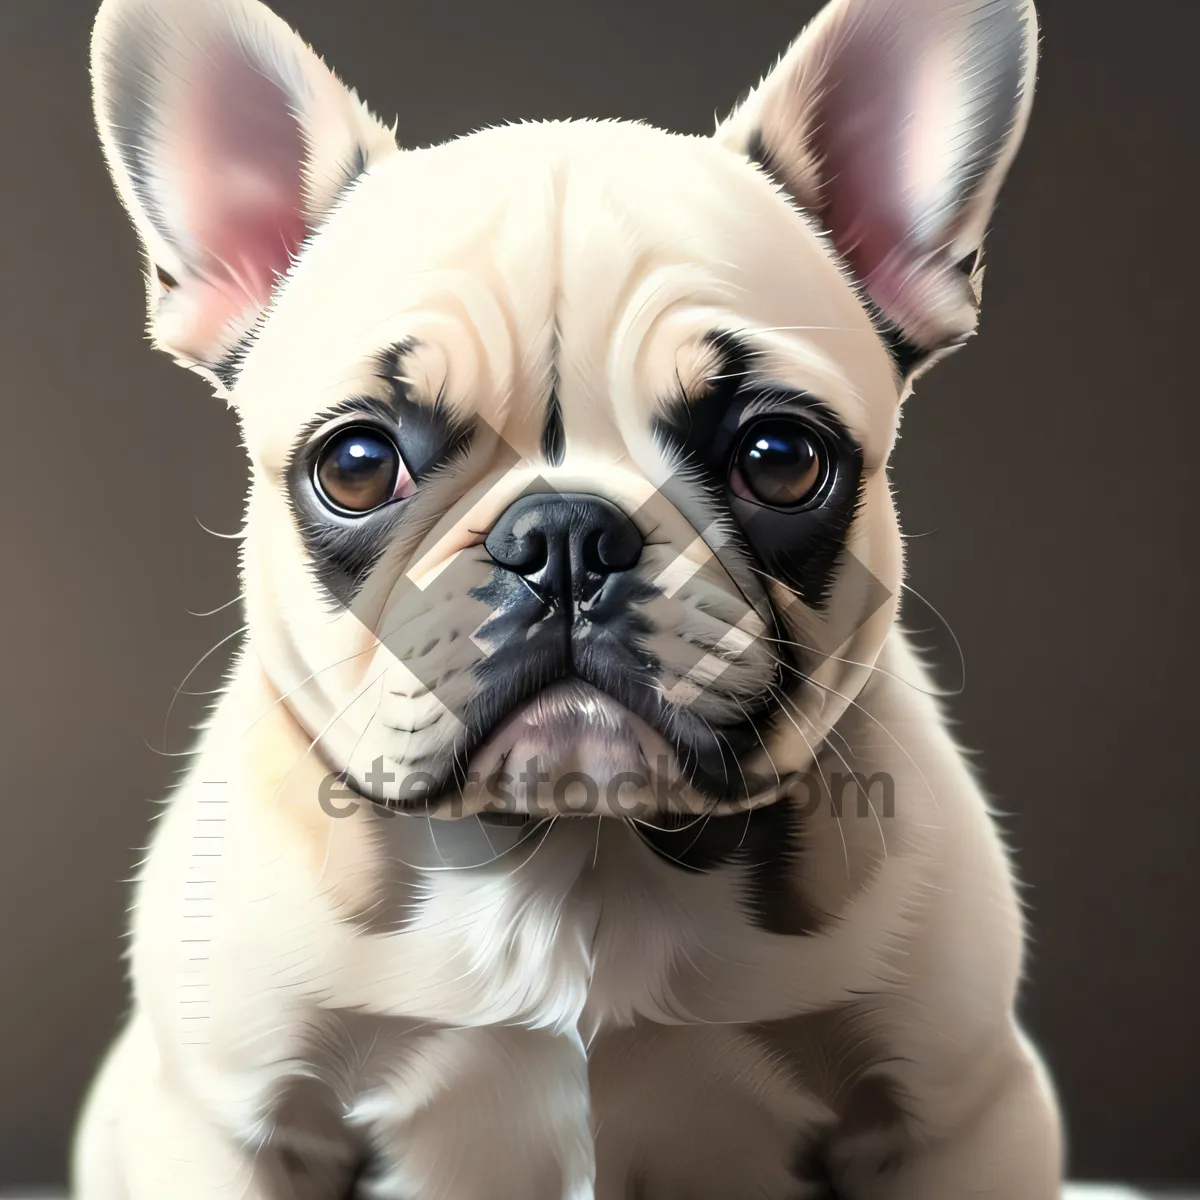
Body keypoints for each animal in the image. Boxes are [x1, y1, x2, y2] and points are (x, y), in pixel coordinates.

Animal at [75, 0, 1065, 1195]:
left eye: (781, 457)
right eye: (356, 465)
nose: (563, 538)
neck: (577, 853)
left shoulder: (956, 1112)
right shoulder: (226, 1123)